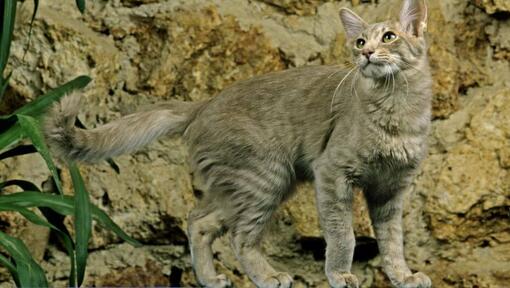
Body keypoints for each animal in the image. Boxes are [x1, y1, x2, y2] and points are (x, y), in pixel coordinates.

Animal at [45, 0, 432, 288]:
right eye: (360, 42)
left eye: (389, 36)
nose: (366, 55)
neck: (397, 110)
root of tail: (204, 103)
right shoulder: (333, 173)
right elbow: (343, 235)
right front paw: (340, 275)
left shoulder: (391, 190)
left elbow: (393, 241)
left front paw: (403, 276)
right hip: (265, 178)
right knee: (240, 238)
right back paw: (268, 276)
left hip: (247, 185)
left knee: (199, 221)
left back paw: (210, 278)